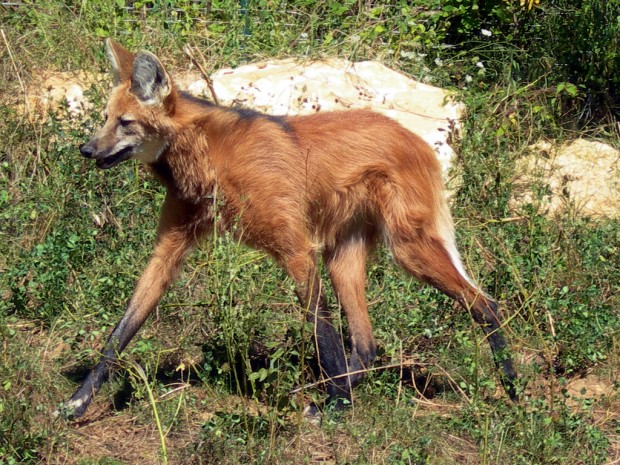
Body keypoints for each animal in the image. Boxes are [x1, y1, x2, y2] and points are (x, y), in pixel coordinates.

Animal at [58, 39, 516, 416]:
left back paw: (511, 392)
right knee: (367, 344)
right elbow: (123, 329)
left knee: (486, 304)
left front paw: (336, 409)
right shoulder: (170, 247)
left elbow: (322, 333)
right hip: (342, 257)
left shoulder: (296, 249)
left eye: (126, 123)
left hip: (407, 248)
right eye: (104, 118)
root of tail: (417, 139)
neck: (206, 158)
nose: (86, 149)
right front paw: (78, 402)